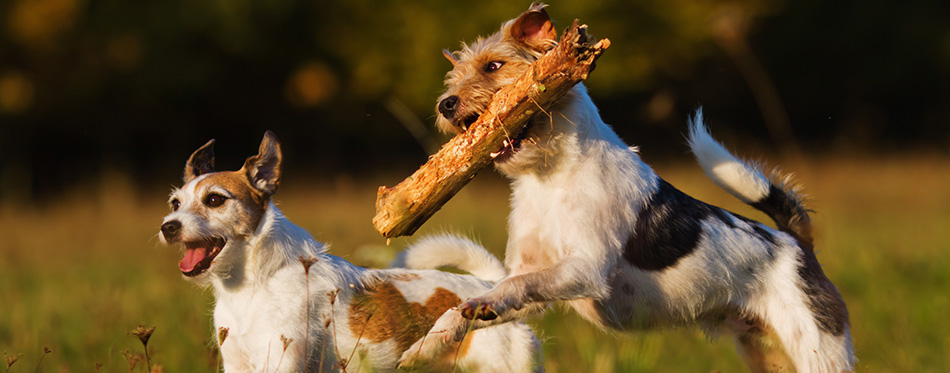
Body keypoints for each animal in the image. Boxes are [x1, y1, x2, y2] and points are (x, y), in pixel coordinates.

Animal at [159, 132, 540, 370]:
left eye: (215, 200)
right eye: (175, 203)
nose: (168, 226)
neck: (253, 283)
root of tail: (489, 286)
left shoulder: (279, 359)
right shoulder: (237, 362)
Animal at [402, 3, 856, 372]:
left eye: (493, 66)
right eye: (453, 77)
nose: (445, 105)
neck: (549, 176)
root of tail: (797, 242)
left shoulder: (585, 269)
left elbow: (507, 288)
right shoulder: (536, 279)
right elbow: (468, 306)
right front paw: (424, 348)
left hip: (818, 350)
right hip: (767, 355)